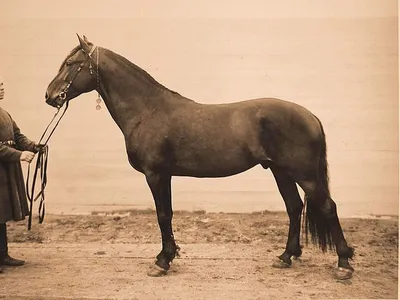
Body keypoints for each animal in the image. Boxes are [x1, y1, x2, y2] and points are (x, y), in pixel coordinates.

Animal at [45, 34, 354, 278]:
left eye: (70, 64)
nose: (50, 95)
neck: (147, 110)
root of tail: (310, 116)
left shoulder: (156, 174)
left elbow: (163, 215)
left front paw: (162, 262)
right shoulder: (165, 175)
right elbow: (167, 214)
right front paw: (168, 256)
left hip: (304, 175)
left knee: (327, 207)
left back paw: (343, 264)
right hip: (281, 172)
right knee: (294, 207)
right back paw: (286, 256)